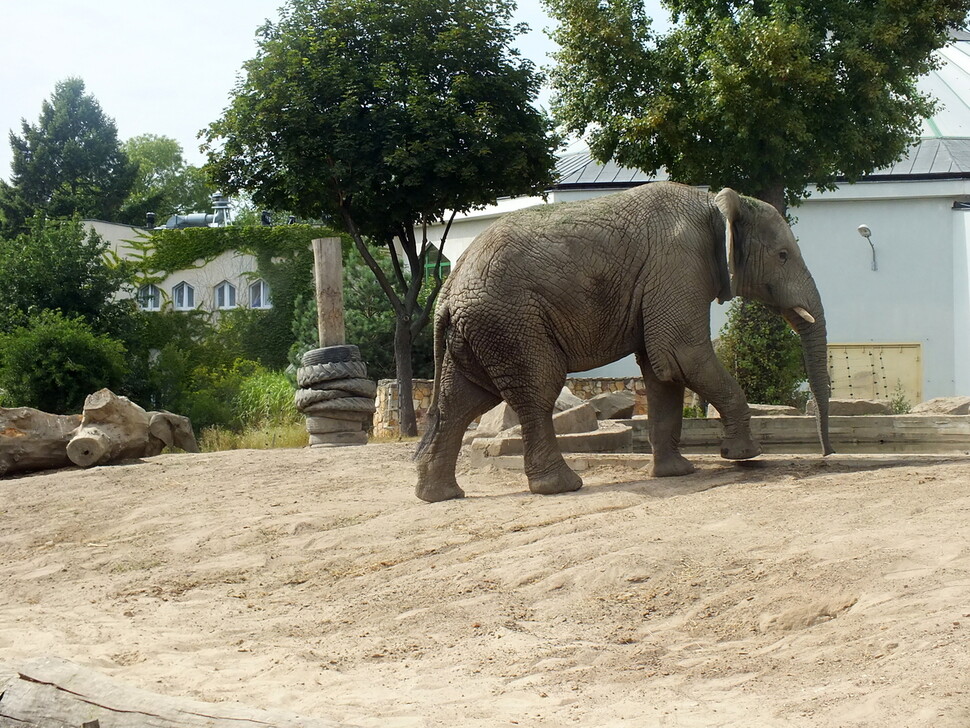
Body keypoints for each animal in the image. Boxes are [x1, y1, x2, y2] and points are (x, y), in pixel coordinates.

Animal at [412, 179, 828, 504]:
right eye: (783, 255)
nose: (827, 454)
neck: (715, 201)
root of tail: (446, 291)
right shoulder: (678, 264)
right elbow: (682, 355)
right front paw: (746, 456)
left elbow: (663, 370)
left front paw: (677, 473)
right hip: (510, 320)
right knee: (536, 391)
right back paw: (562, 486)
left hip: (478, 328)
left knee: (463, 401)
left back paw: (440, 495)